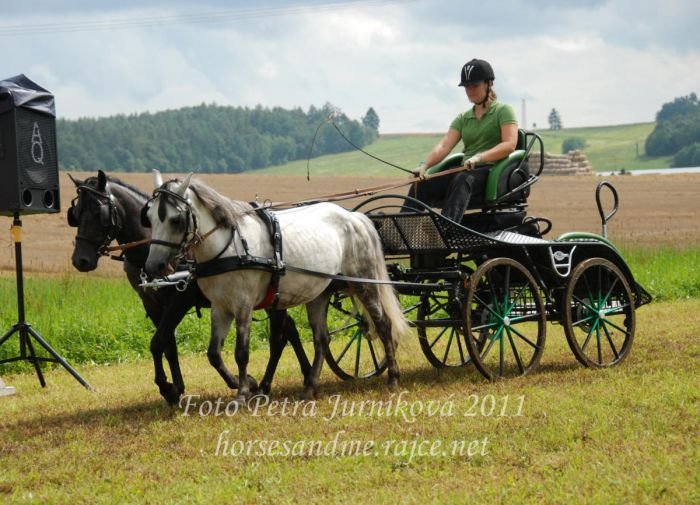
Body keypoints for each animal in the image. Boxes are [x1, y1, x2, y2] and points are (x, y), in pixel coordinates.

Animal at [68, 170, 309, 404]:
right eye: (76, 214)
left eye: (99, 213)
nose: (81, 260)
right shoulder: (152, 305)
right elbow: (167, 346)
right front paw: (175, 387)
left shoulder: (180, 301)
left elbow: (158, 343)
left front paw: (170, 388)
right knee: (290, 329)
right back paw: (307, 373)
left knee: (281, 336)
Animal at [143, 171, 410, 401]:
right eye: (150, 217)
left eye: (176, 219)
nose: (154, 266)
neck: (229, 247)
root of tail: (355, 218)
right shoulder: (220, 307)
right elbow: (214, 353)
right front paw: (246, 384)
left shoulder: (243, 305)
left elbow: (242, 352)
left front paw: (243, 393)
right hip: (320, 293)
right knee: (321, 340)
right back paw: (309, 387)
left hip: (365, 284)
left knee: (383, 325)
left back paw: (393, 377)